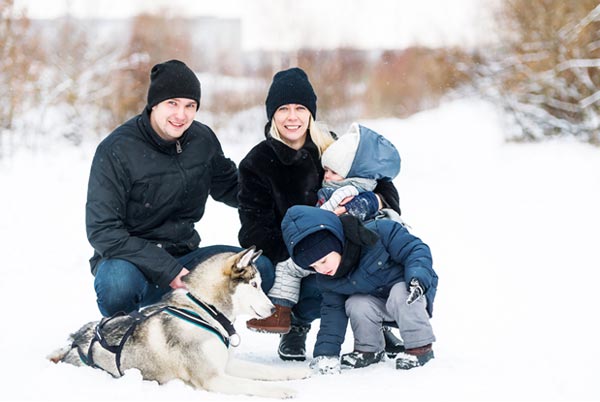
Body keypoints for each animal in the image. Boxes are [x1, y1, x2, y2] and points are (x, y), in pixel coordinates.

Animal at [49, 248, 312, 398]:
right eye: (255, 284)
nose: (273, 309)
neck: (205, 310)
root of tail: (74, 341)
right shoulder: (212, 377)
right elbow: (252, 384)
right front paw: (280, 390)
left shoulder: (225, 364)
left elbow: (265, 370)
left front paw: (295, 373)